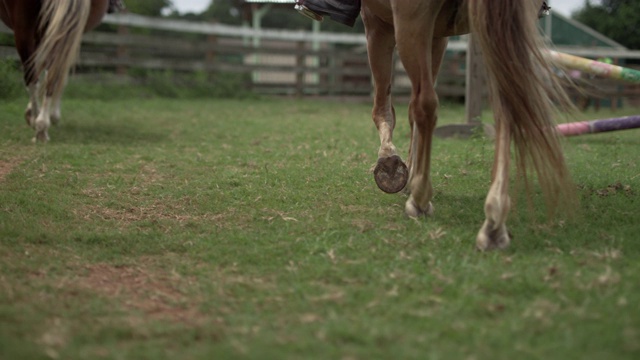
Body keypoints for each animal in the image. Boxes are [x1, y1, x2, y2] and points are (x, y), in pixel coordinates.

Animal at [0, 0, 110, 142]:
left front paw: (38, 115)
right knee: (50, 73)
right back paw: (41, 123)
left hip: (25, 24)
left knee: (35, 77)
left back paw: (39, 123)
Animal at [360, 0, 576, 250]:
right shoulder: (438, 35)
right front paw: (409, 171)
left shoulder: (377, 24)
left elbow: (384, 108)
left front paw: (390, 164)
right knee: (505, 109)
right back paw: (494, 221)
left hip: (411, 19)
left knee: (425, 104)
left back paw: (420, 200)